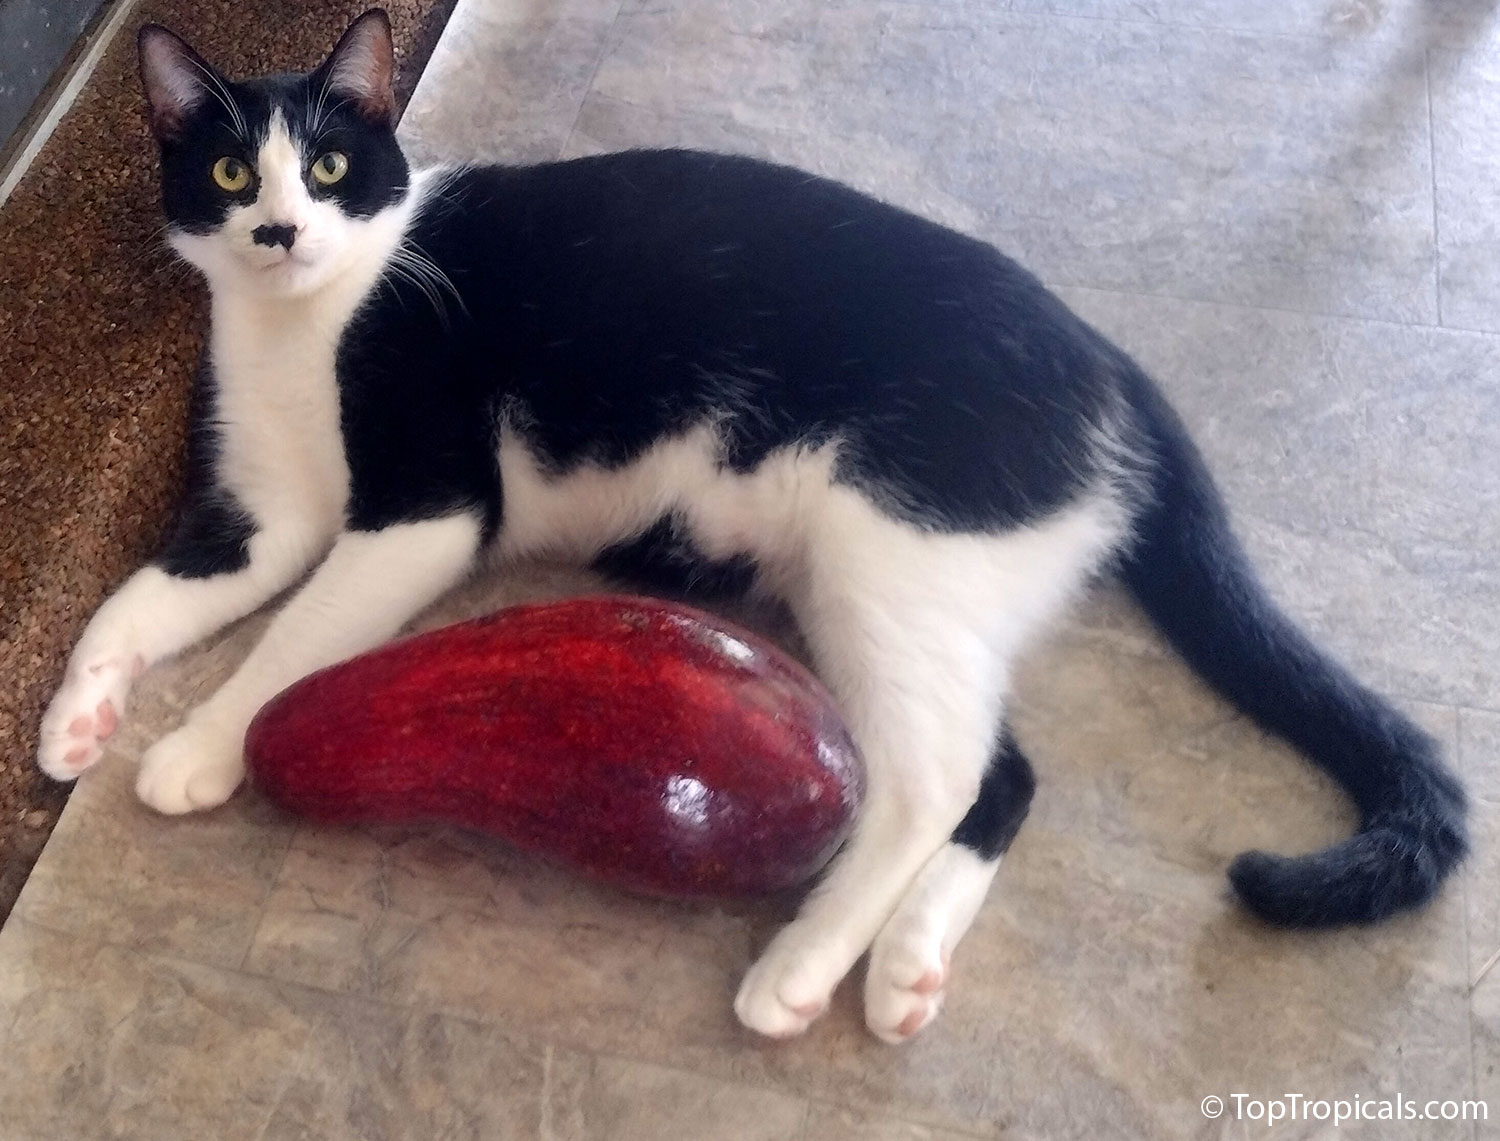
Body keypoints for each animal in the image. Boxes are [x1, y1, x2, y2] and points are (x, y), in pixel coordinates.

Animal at [35, 8, 1464, 1043]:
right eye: (230, 170)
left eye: (332, 165)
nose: (281, 228)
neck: (310, 319)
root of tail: (1111, 363)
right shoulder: (265, 519)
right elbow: (133, 597)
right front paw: (73, 719)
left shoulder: (426, 511)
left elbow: (290, 646)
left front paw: (198, 747)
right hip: (890, 588)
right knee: (1003, 773)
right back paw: (903, 970)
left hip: (885, 547)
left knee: (936, 778)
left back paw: (804, 965)